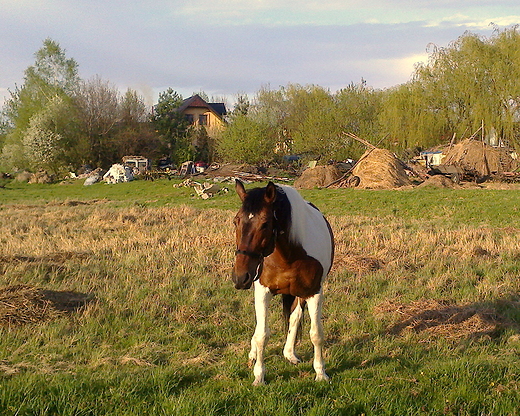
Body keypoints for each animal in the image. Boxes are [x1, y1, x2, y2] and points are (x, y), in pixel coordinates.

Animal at [232, 180, 334, 386]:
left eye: (265, 224)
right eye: (236, 221)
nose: (240, 277)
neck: (289, 256)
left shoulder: (314, 292)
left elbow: (316, 334)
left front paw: (320, 373)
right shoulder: (263, 292)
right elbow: (262, 335)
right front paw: (259, 376)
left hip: (299, 294)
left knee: (294, 318)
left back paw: (289, 353)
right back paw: (253, 354)